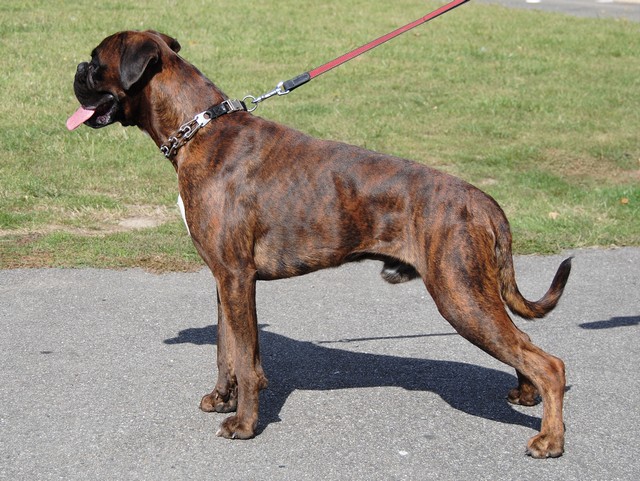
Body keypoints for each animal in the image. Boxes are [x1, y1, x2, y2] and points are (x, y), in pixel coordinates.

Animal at [68, 30, 572, 458]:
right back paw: (526, 395)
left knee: (548, 363)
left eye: (96, 63)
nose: (75, 67)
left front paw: (244, 424)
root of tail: (483, 200)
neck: (200, 129)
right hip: (474, 293)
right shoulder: (224, 280)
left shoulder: (236, 277)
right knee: (524, 342)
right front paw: (222, 398)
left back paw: (549, 439)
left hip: (459, 295)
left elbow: (244, 358)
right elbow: (228, 350)